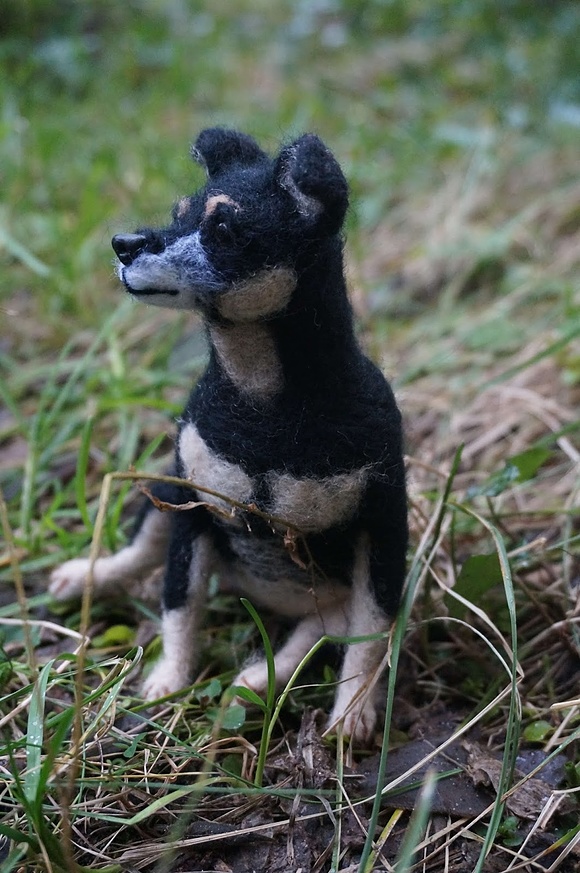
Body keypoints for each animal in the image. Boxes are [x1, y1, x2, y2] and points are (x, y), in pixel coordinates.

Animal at [53, 127, 408, 744]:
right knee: (142, 550)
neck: (261, 404)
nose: (124, 243)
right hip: (163, 490)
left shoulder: (383, 525)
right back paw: (85, 576)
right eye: (177, 213)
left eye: (224, 231)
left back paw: (258, 680)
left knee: (319, 631)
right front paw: (169, 680)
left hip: (326, 597)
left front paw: (353, 713)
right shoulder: (192, 505)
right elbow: (180, 601)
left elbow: (371, 635)